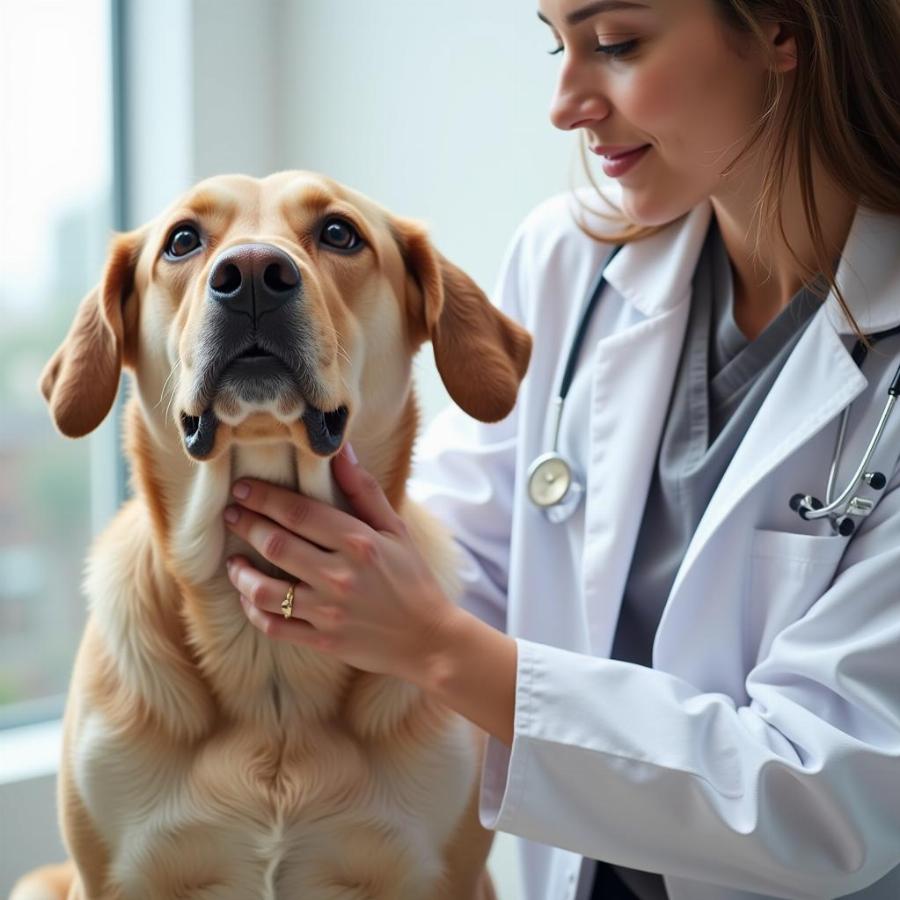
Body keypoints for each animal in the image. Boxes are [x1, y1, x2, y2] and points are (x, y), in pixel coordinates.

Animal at [14, 171, 532, 900]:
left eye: (339, 232)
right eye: (182, 240)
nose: (253, 276)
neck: (271, 670)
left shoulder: (444, 875)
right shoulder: (113, 877)